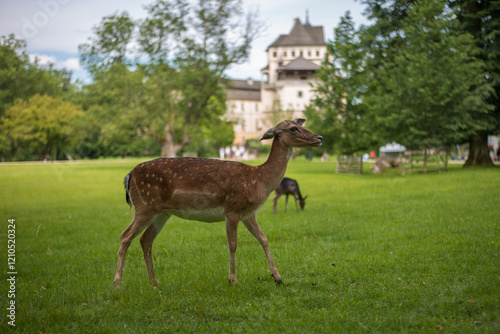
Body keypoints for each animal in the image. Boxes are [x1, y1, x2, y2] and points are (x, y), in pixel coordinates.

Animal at [113, 118, 322, 288]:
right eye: (293, 128)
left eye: (300, 124)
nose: (319, 137)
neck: (259, 180)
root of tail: (129, 175)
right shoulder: (232, 209)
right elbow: (233, 244)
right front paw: (233, 279)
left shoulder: (249, 214)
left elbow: (263, 239)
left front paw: (277, 277)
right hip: (145, 205)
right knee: (125, 236)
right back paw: (118, 283)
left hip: (162, 212)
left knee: (145, 240)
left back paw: (154, 281)